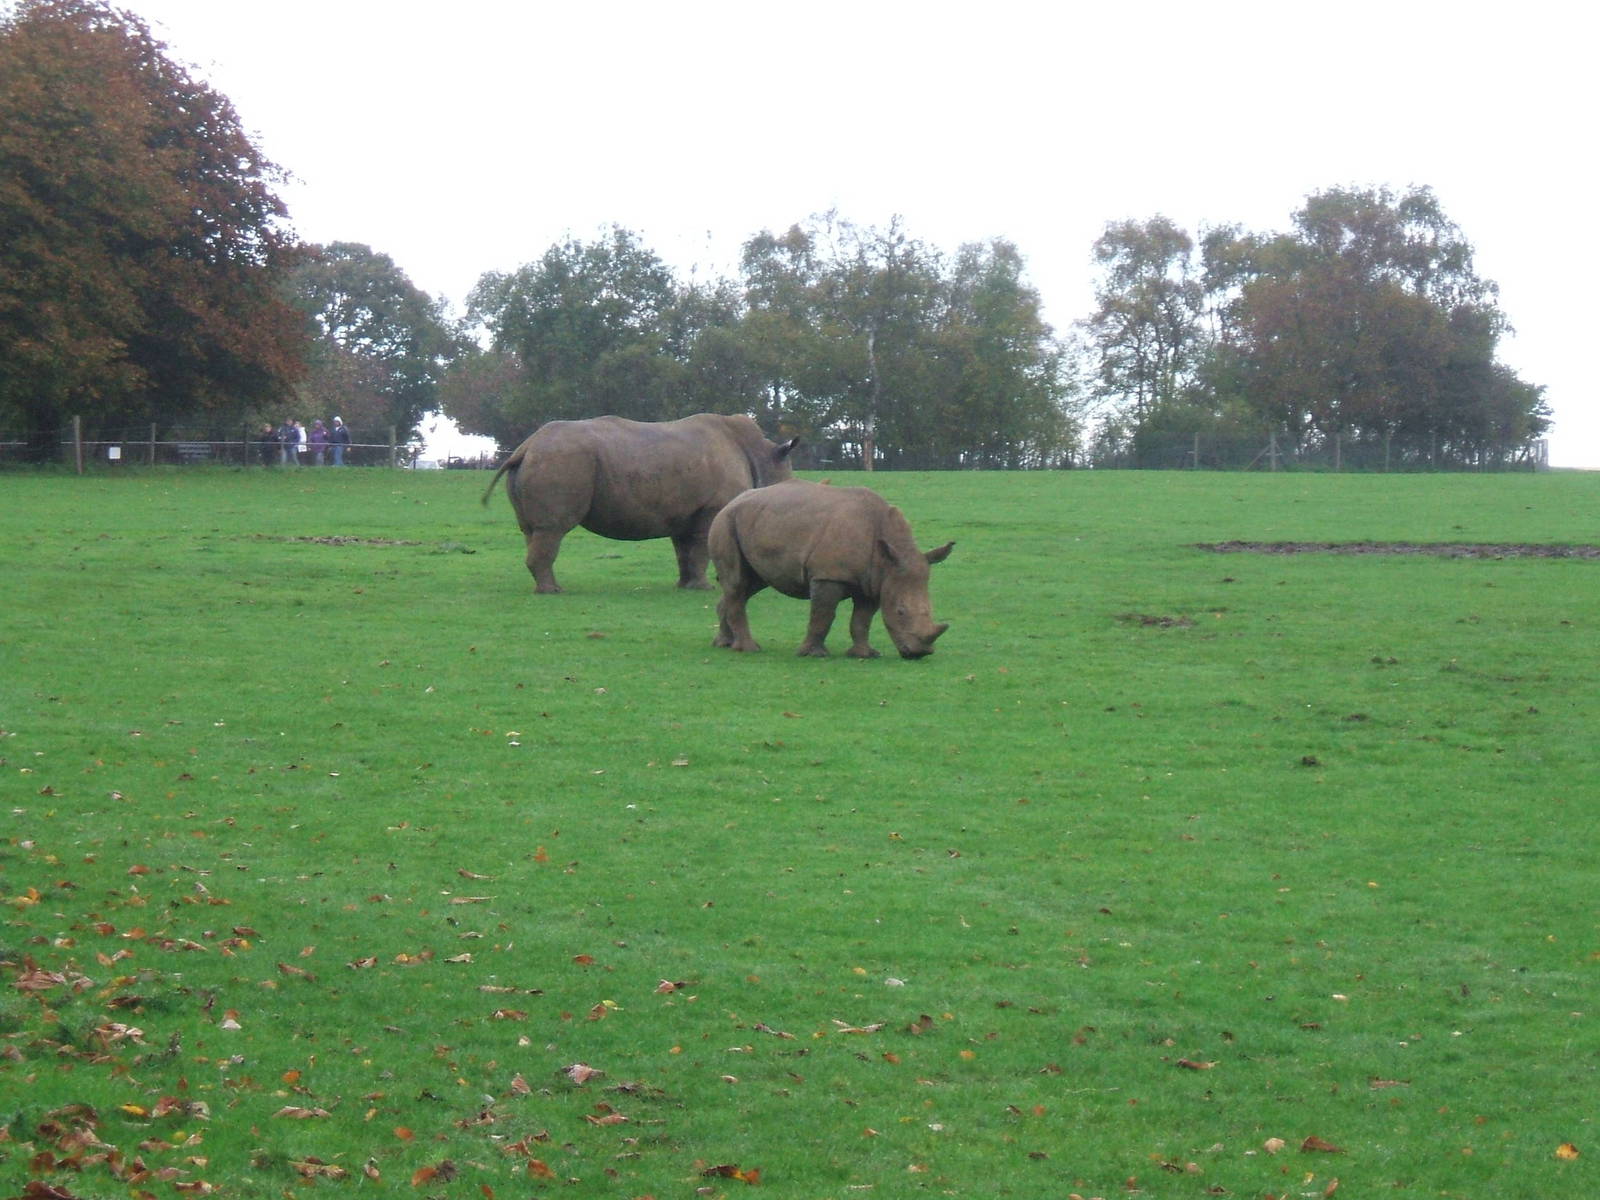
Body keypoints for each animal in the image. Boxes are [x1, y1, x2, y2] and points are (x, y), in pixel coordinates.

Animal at [482, 414, 798, 593]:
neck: (762, 455)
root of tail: (526, 447)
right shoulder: (710, 509)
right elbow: (700, 548)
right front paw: (704, 588)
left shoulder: (684, 513)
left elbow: (685, 551)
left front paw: (686, 587)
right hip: (562, 459)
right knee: (552, 529)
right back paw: (554, 591)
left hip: (546, 460)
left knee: (531, 530)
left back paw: (546, 587)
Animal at [709, 478, 954, 659]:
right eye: (900, 611)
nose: (920, 653)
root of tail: (731, 502)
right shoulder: (829, 575)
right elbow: (823, 614)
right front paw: (813, 654)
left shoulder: (875, 581)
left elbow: (862, 619)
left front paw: (864, 654)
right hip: (725, 523)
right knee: (737, 583)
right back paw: (749, 649)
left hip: (753, 522)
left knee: (749, 584)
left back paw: (724, 644)